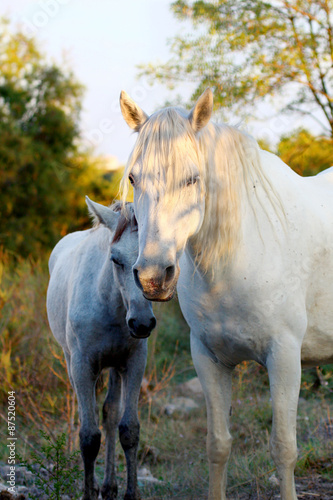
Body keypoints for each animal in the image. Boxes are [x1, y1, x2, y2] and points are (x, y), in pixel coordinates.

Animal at [46, 199, 156, 500]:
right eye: (115, 259)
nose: (142, 323)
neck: (109, 303)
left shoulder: (134, 363)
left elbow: (128, 430)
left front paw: (130, 493)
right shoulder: (83, 367)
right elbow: (88, 437)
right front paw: (87, 491)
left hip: (115, 366)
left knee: (110, 415)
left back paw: (109, 486)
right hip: (71, 361)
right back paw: (97, 485)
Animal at [119, 90, 332, 500]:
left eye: (192, 178)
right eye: (134, 177)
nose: (153, 277)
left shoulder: (284, 358)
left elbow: (283, 448)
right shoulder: (208, 358)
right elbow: (217, 445)